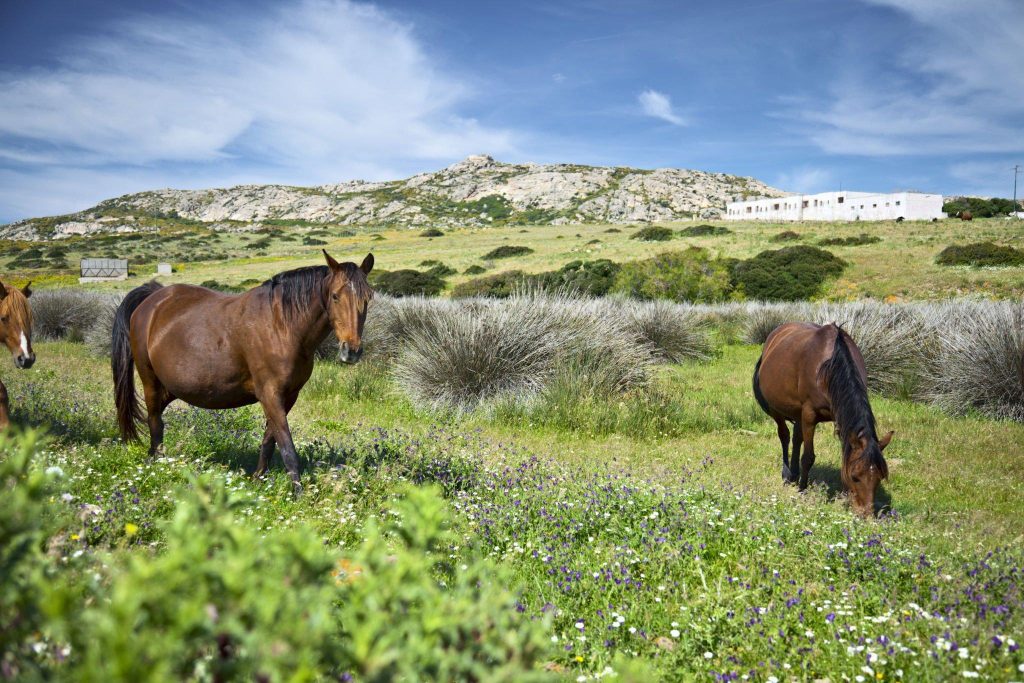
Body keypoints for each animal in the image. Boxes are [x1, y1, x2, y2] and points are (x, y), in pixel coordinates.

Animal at [110, 253, 374, 489]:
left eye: (368, 297)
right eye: (335, 296)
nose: (351, 351)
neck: (282, 325)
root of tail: (153, 298)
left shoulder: (288, 396)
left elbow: (269, 441)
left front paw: (258, 479)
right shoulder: (270, 395)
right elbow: (287, 448)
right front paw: (298, 494)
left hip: (169, 389)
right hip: (150, 381)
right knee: (154, 422)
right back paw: (158, 467)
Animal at [753, 323, 897, 516]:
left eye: (880, 477)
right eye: (855, 477)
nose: (865, 515)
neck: (829, 368)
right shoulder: (809, 415)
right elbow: (808, 457)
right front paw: (802, 490)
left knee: (796, 438)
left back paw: (794, 474)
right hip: (776, 409)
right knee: (784, 436)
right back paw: (787, 475)